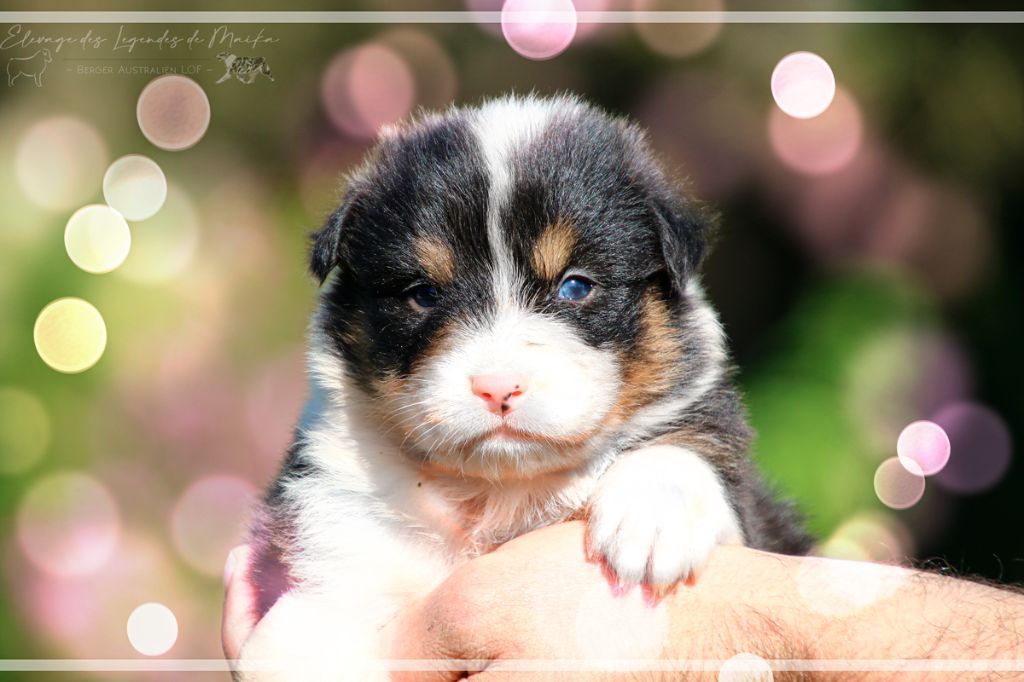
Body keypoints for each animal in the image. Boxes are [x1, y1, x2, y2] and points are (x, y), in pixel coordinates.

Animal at [241, 94, 811, 679]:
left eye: (575, 286)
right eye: (422, 293)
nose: (498, 388)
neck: (499, 490)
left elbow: (684, 447)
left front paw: (651, 519)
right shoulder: (334, 535)